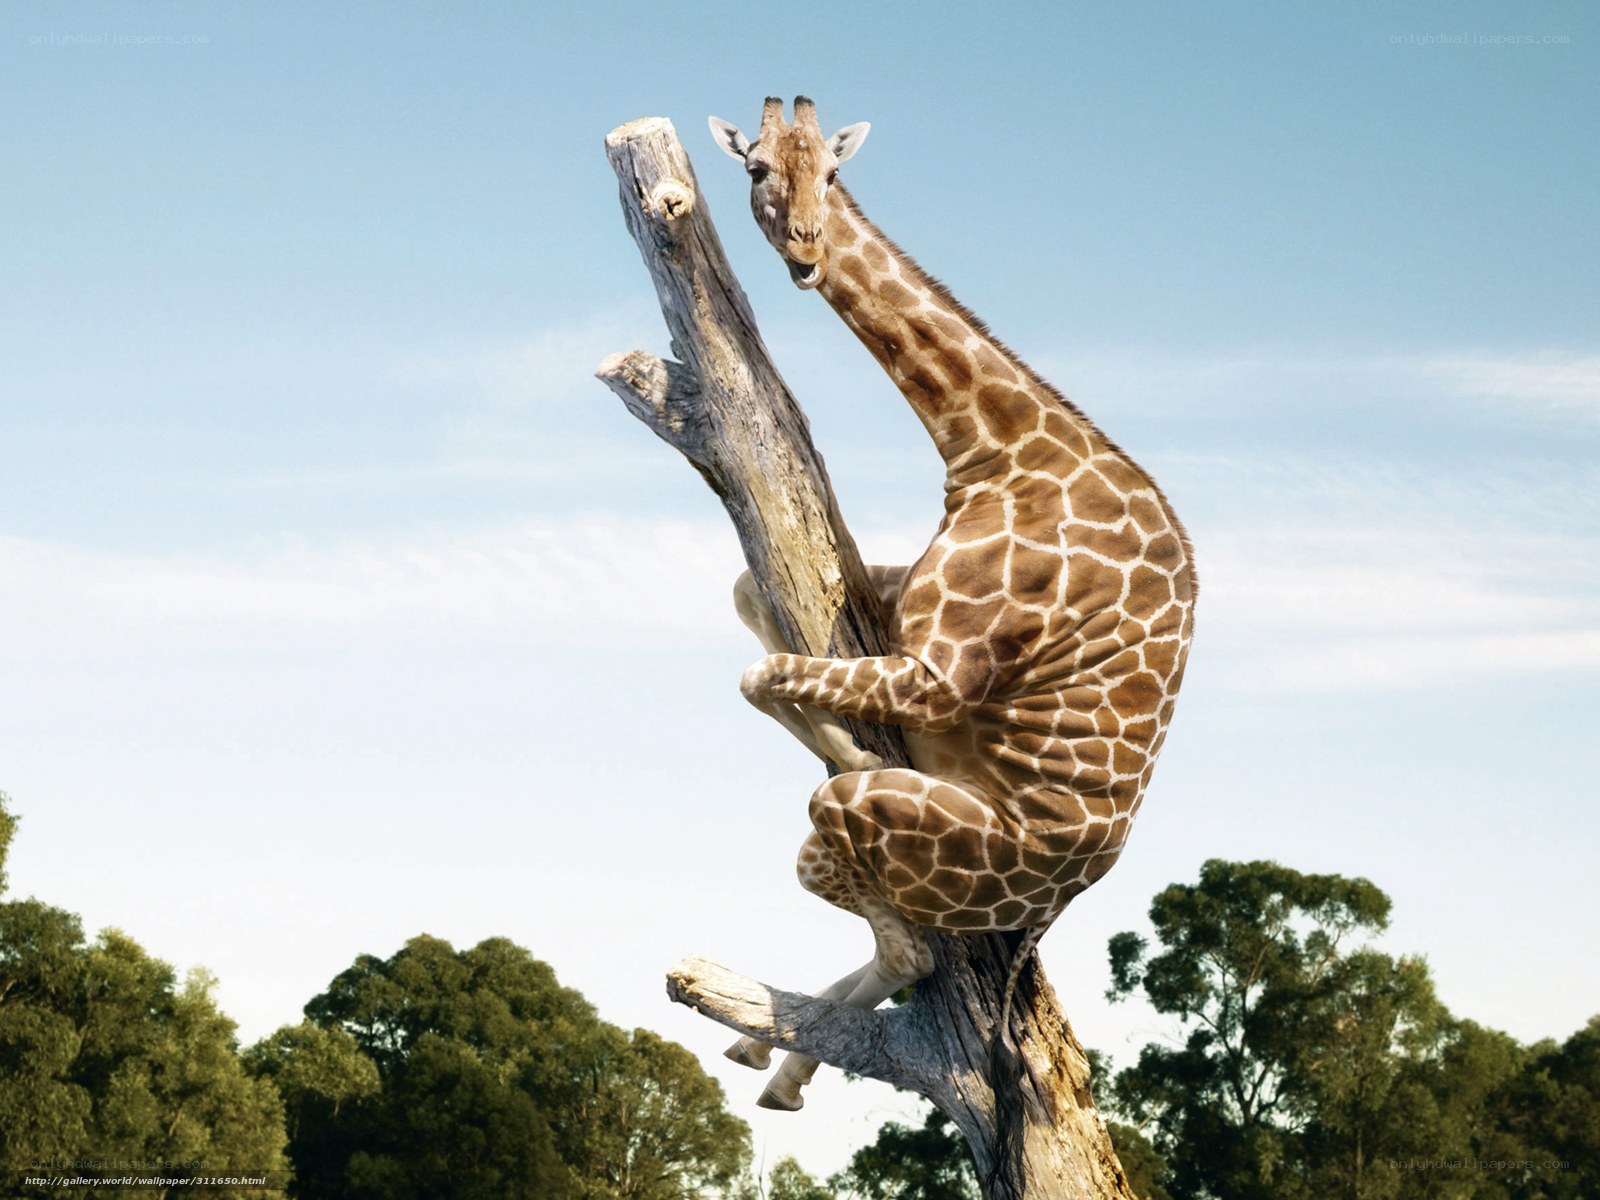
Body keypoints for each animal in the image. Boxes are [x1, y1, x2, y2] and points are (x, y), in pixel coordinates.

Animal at [708, 97, 1196, 1112]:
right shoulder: (894, 614)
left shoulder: (939, 676)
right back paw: (768, 1062)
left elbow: (760, 673)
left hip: (884, 831)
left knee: (905, 945)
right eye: (758, 168)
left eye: (834, 175)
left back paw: (779, 1064)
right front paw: (835, 728)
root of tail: (1057, 900)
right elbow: (748, 606)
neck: (996, 447)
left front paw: (851, 741)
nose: (807, 251)